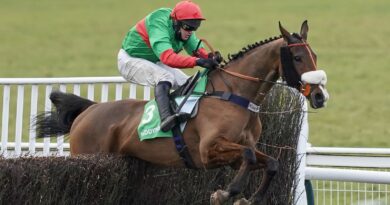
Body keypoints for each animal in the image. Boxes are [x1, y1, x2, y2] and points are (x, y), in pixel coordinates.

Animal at [35, 21, 330, 205]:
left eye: (314, 55)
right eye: (297, 58)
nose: (319, 96)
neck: (234, 94)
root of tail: (90, 110)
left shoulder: (236, 157)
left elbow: (271, 163)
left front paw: (250, 198)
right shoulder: (208, 150)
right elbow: (246, 156)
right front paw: (225, 194)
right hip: (87, 156)